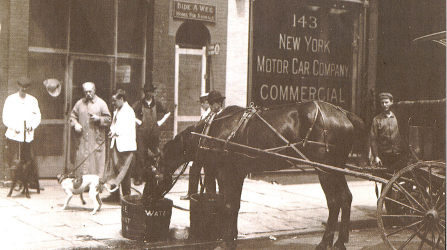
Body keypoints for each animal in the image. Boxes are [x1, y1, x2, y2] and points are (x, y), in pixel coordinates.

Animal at [156, 100, 370, 249]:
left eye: (156, 168)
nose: (153, 194)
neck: (214, 130)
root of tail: (344, 114)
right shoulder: (235, 173)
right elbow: (233, 206)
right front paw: (231, 237)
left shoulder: (227, 173)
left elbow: (228, 206)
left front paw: (227, 241)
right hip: (335, 168)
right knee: (345, 198)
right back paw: (340, 242)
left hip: (325, 169)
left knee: (334, 202)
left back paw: (325, 242)